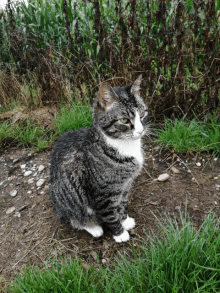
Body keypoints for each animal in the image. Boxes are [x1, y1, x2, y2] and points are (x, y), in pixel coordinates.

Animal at [49, 74, 149, 242]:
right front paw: (120, 233)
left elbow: (122, 205)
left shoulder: (125, 185)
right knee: (74, 217)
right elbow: (109, 214)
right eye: (124, 120)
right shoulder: (102, 193)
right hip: (68, 200)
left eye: (142, 115)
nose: (141, 131)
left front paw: (125, 220)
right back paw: (93, 227)